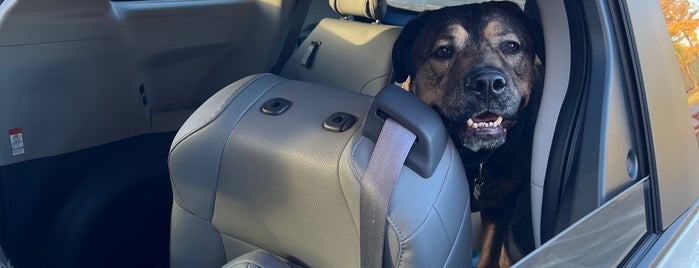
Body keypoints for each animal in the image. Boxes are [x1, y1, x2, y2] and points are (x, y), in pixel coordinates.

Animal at [394, 1, 540, 266]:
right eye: (443, 51)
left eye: (511, 46)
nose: (488, 83)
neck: (472, 158)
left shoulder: (502, 204)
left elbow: (491, 252)